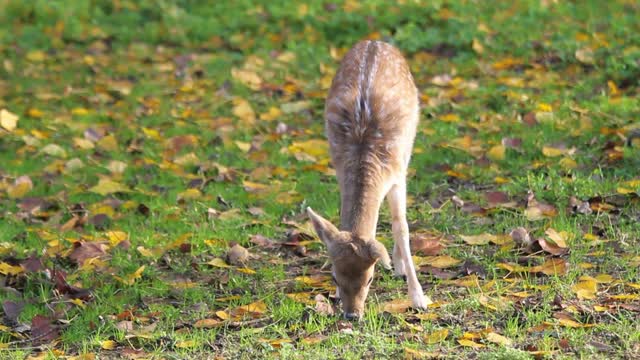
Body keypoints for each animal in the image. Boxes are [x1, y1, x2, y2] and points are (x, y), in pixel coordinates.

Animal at [308, 40, 432, 320]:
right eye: (334, 276)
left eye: (370, 279)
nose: (352, 315)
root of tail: (375, 41)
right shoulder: (339, 168)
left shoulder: (397, 175)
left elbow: (401, 227)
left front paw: (419, 298)